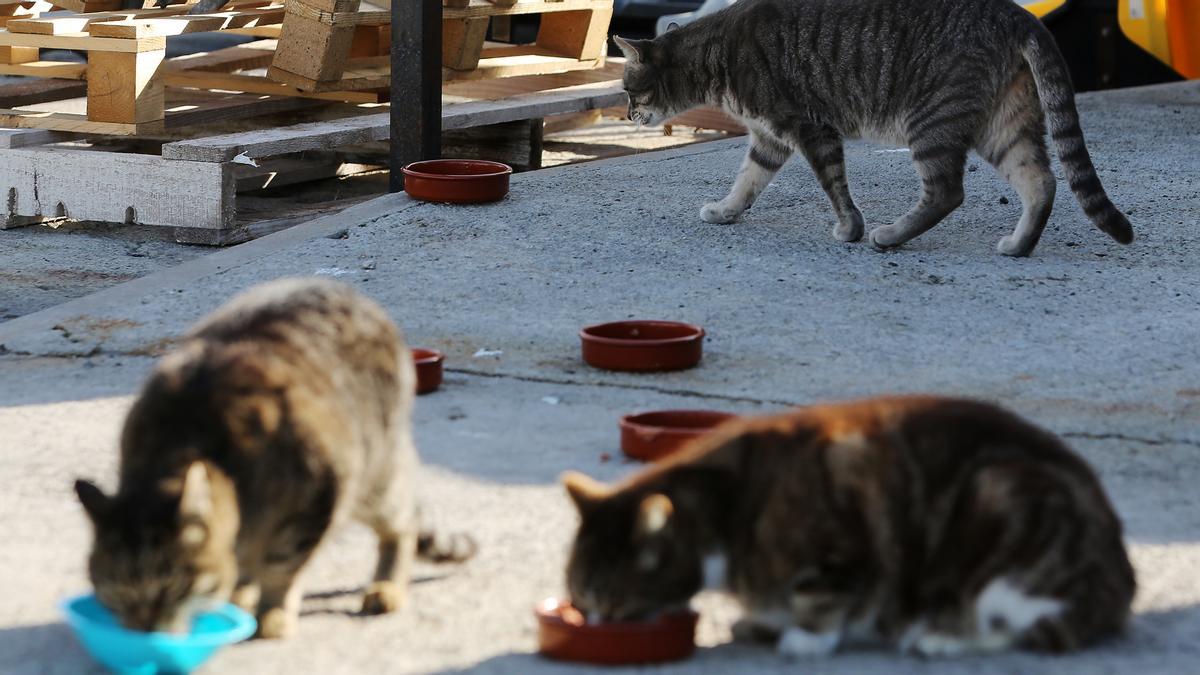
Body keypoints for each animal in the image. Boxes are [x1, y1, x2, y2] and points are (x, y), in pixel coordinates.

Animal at [71, 276, 477, 634]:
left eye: (169, 587)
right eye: (115, 594)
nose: (142, 629)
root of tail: (350, 292)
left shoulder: (318, 493)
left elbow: (281, 566)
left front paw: (271, 611)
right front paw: (240, 595)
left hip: (373, 479)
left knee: (404, 522)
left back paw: (387, 585)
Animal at [561, 396, 1132, 653]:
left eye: (615, 606)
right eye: (582, 604)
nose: (592, 627)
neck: (732, 505)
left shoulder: (839, 544)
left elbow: (824, 598)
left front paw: (803, 639)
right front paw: (763, 622)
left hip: (1000, 509)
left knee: (1021, 627)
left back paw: (943, 636)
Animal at [619, 0, 1132, 254]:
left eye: (627, 89)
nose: (624, 115)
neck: (715, 53)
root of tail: (1019, 13)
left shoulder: (810, 128)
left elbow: (835, 187)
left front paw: (850, 228)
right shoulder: (768, 138)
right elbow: (747, 181)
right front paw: (727, 210)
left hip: (930, 120)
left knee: (947, 192)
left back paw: (890, 236)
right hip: (1004, 127)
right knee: (1041, 182)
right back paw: (1019, 246)